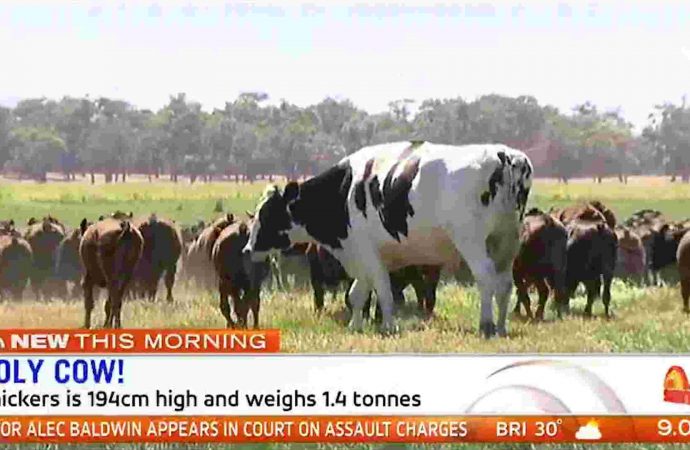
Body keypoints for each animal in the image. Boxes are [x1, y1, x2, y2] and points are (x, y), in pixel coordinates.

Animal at [242, 142, 532, 338]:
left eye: (267, 215)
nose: (246, 249)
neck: (344, 191)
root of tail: (504, 155)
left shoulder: (367, 252)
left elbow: (381, 290)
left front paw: (388, 326)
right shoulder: (362, 255)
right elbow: (357, 294)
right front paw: (355, 326)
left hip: (471, 241)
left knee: (486, 278)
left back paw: (486, 326)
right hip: (506, 241)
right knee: (505, 284)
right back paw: (502, 327)